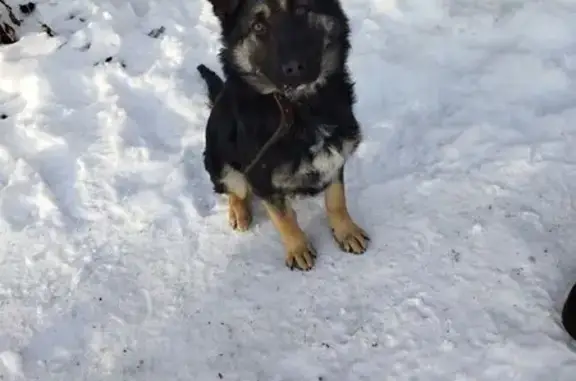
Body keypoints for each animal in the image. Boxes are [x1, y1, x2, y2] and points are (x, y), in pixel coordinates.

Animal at [197, 0, 368, 270]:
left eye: (302, 10)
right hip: (220, 162)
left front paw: (346, 231)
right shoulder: (261, 177)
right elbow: (284, 217)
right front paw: (298, 247)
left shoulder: (335, 157)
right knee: (235, 190)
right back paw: (239, 212)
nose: (294, 68)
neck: (299, 109)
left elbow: (336, 199)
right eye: (258, 26)